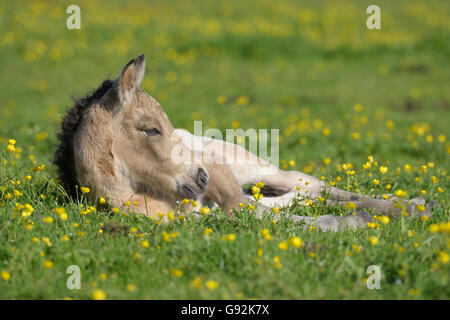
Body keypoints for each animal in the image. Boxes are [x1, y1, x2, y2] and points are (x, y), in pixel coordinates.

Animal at [51, 54, 432, 230]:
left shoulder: (222, 181)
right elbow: (254, 213)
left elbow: (248, 210)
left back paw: (410, 205)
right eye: (150, 129)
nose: (201, 177)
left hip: (247, 165)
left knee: (305, 184)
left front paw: (352, 222)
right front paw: (348, 223)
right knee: (293, 198)